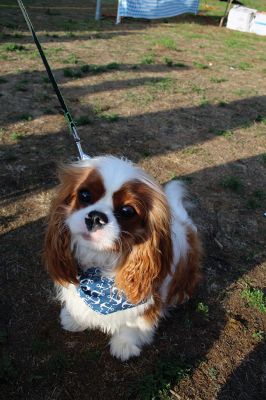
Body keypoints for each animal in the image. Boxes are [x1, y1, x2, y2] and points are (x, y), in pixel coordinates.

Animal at [44, 155, 202, 360]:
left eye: (127, 211)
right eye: (84, 194)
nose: (95, 217)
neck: (100, 264)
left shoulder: (148, 300)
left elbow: (135, 322)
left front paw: (125, 344)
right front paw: (75, 318)